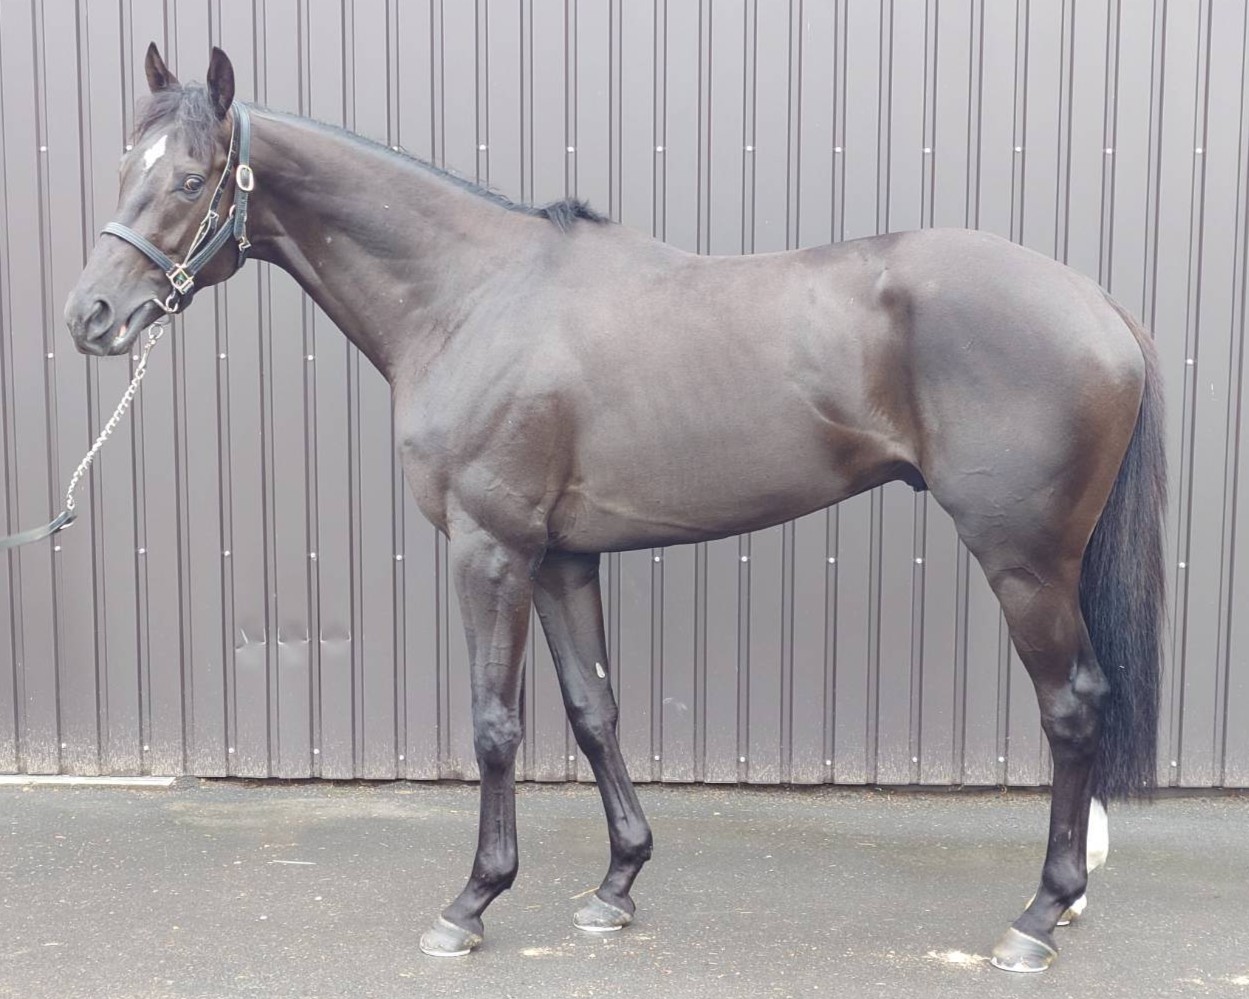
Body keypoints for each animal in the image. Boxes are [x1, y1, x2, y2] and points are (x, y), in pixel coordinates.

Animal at [64, 45, 1166, 974]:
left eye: (193, 176)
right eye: (121, 163)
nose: (91, 317)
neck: (472, 297)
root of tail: (1099, 307)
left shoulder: (490, 549)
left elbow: (495, 725)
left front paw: (471, 904)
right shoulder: (560, 557)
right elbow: (592, 711)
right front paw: (615, 885)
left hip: (1023, 560)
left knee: (1072, 708)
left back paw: (1037, 917)